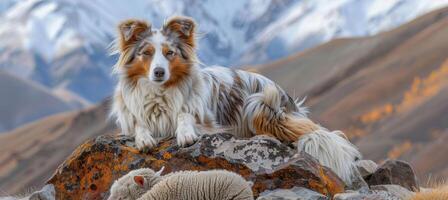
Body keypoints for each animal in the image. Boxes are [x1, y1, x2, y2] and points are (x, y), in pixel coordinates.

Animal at [110, 16, 362, 186]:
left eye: (169, 53)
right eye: (146, 53)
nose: (159, 72)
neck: (160, 92)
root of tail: (290, 101)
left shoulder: (206, 120)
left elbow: (184, 115)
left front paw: (185, 134)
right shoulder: (133, 117)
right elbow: (139, 125)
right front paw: (144, 138)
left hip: (260, 102)